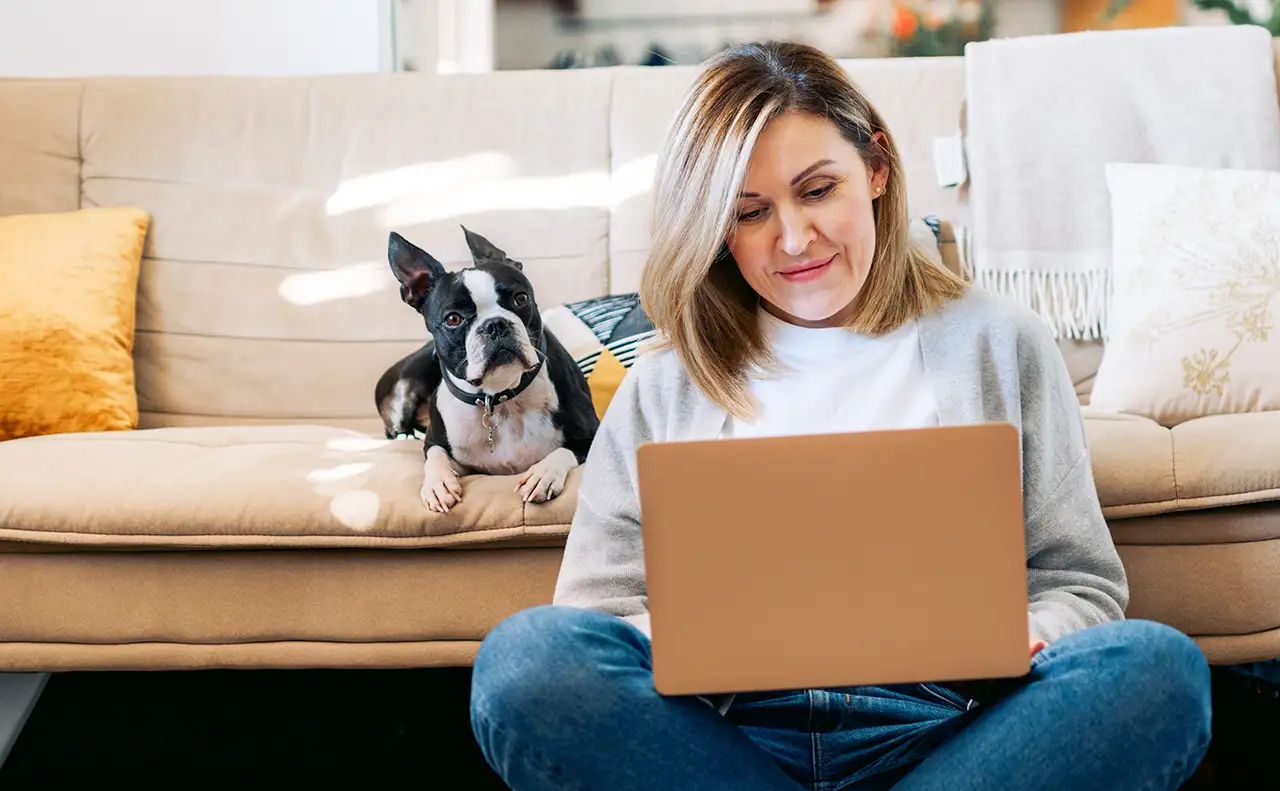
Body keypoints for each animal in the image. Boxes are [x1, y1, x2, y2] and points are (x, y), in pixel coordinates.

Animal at [373, 226, 599, 511]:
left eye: (521, 298)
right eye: (453, 319)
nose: (495, 324)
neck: (499, 396)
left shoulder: (592, 433)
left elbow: (564, 450)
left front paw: (543, 474)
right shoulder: (438, 443)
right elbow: (435, 454)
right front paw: (437, 483)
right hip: (403, 391)